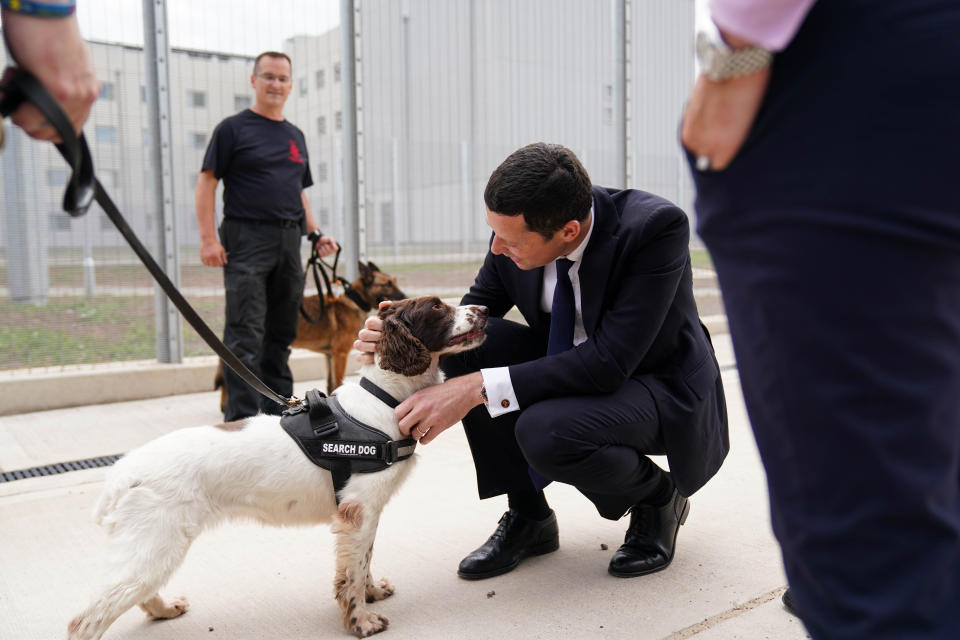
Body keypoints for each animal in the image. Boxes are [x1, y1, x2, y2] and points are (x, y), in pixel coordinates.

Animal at [216, 258, 406, 408]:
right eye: (387, 284)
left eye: (395, 281)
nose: (406, 297)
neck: (355, 300)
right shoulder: (340, 354)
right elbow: (338, 380)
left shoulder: (329, 356)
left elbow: (330, 384)